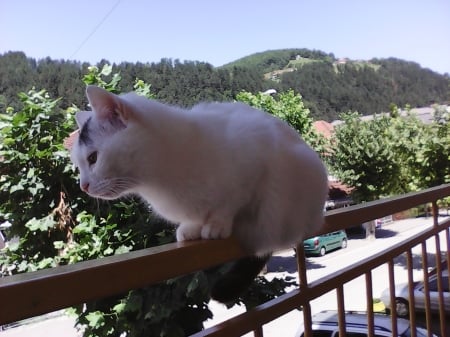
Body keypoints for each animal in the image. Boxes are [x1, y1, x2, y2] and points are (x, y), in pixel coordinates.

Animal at [69, 84, 326, 302]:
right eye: (79, 165)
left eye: (93, 158)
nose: (84, 186)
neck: (158, 181)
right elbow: (195, 217)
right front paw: (191, 229)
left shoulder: (253, 166)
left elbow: (229, 204)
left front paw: (216, 225)